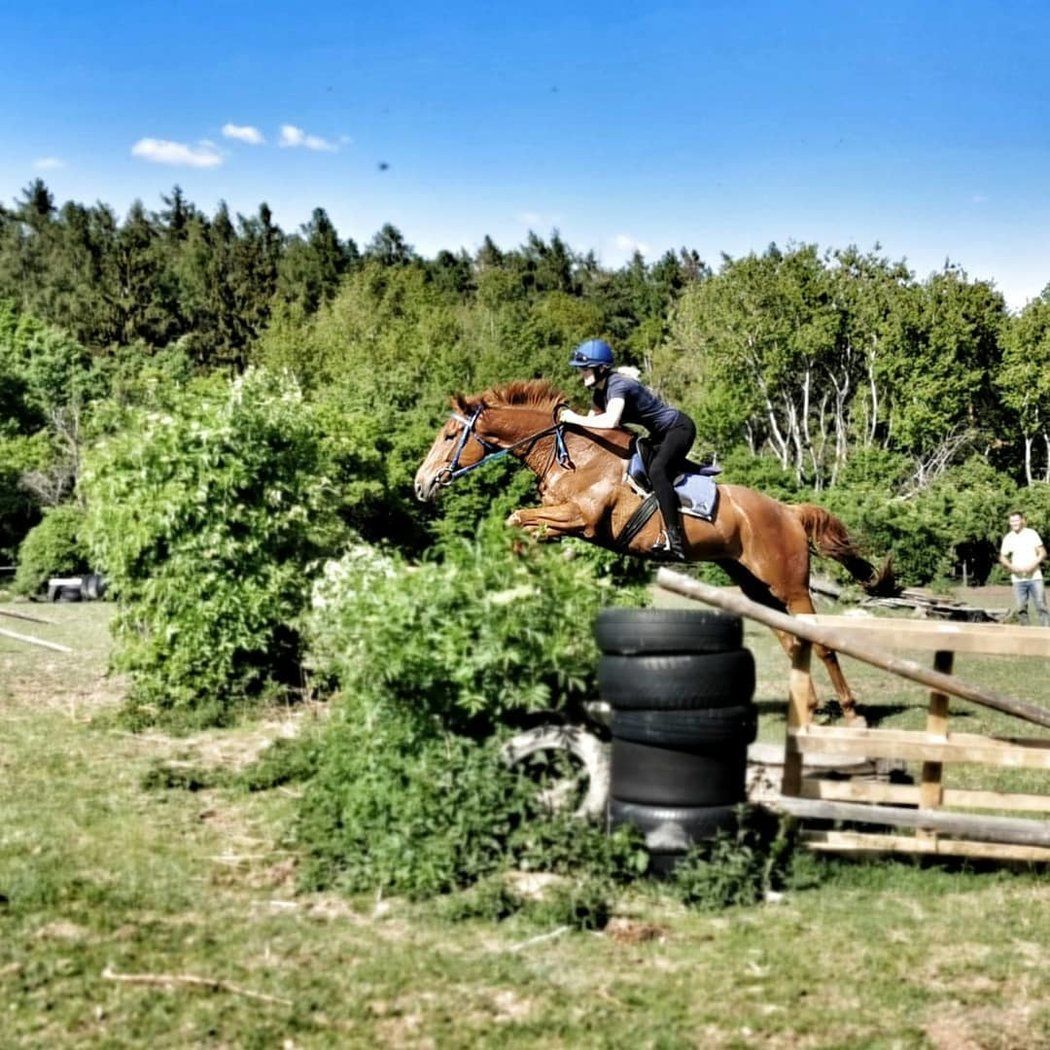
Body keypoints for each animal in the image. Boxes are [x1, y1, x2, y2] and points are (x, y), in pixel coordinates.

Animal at [415, 377, 894, 722]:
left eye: (450, 435)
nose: (421, 485)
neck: (573, 456)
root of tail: (790, 512)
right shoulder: (561, 521)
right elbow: (518, 523)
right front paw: (513, 576)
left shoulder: (581, 519)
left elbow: (519, 518)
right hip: (757, 588)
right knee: (793, 643)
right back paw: (807, 708)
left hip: (791, 586)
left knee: (821, 643)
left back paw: (851, 712)